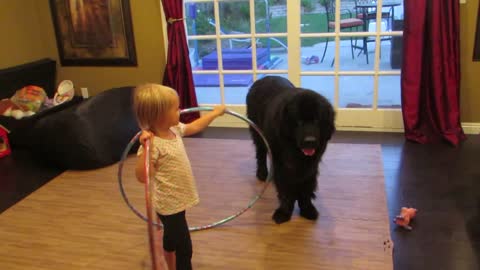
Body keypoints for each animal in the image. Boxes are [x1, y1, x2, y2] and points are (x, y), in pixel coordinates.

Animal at [246, 75, 336, 224]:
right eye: (298, 122)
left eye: (317, 121)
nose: (310, 141)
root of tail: (264, 78)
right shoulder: (283, 164)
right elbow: (286, 189)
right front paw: (283, 212)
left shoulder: (311, 165)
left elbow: (307, 187)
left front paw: (307, 209)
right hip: (258, 133)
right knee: (261, 153)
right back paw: (262, 173)